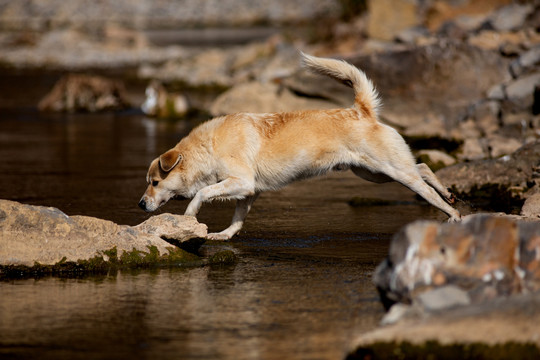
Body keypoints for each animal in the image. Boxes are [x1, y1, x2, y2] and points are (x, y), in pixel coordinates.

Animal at [138, 52, 460, 239]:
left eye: (155, 182)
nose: (141, 204)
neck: (208, 148)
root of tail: (362, 110)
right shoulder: (248, 192)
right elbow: (237, 219)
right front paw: (223, 235)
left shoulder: (240, 182)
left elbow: (203, 193)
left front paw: (190, 215)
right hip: (373, 173)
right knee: (423, 166)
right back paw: (449, 193)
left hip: (392, 171)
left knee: (425, 187)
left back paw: (453, 213)